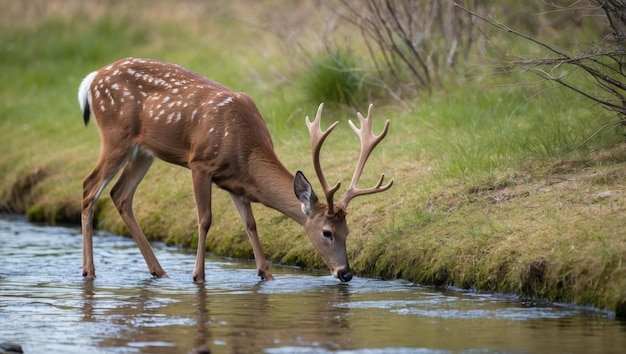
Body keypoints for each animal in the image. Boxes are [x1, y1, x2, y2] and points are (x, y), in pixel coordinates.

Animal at [77, 58, 390, 284]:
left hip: (143, 151)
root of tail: (91, 79)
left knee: (120, 194)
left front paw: (266, 274)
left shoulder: (235, 182)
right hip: (116, 136)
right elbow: (205, 219)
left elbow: (250, 223)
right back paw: (89, 271)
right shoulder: (200, 163)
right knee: (89, 186)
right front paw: (198, 276)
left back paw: (159, 271)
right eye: (327, 232)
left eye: (348, 230)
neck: (245, 149)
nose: (346, 273)